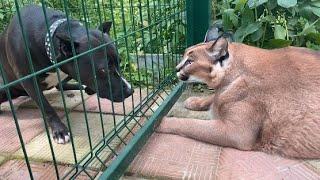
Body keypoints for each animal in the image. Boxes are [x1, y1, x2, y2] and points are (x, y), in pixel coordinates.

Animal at [0, 4, 133, 144]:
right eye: (103, 70)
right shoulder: (29, 82)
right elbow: (46, 107)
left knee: (60, 85)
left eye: (119, 61)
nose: (130, 91)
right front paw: (60, 131)